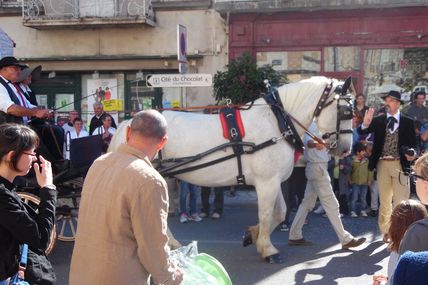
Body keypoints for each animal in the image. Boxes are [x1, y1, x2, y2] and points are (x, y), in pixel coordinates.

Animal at [108, 75, 352, 262]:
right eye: (345, 112)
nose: (345, 149)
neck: (277, 122)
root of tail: (126, 124)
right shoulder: (267, 182)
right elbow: (266, 214)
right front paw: (267, 249)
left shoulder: (273, 181)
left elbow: (280, 212)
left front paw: (252, 235)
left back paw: (173, 243)